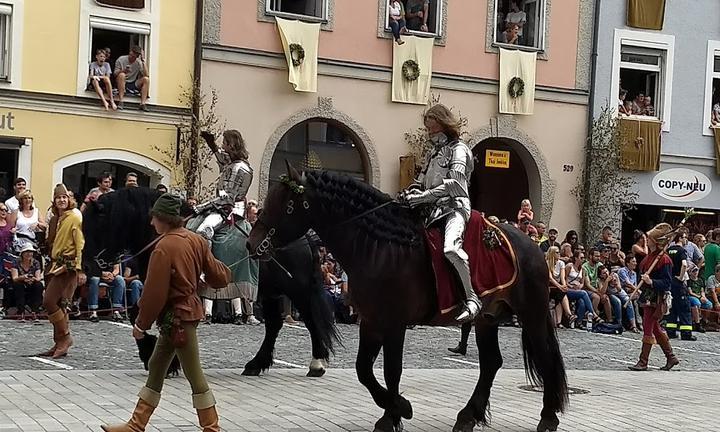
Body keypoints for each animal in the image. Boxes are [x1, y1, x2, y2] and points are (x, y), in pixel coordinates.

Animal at [83, 187, 342, 376]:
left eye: (96, 225)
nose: (85, 267)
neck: (162, 234)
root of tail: (305, 239)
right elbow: (142, 315)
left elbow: (140, 315)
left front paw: (158, 359)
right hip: (270, 291)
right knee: (274, 324)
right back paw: (256, 364)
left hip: (296, 289)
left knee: (309, 319)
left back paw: (316, 363)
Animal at [248, 165, 568, 432]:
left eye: (287, 205)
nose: (253, 244)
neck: (380, 247)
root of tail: (533, 246)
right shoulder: (371, 321)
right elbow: (364, 369)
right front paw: (396, 408)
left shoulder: (394, 323)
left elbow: (392, 371)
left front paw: (394, 414)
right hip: (487, 319)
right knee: (491, 363)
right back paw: (468, 416)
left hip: (532, 313)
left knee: (545, 355)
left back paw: (548, 417)